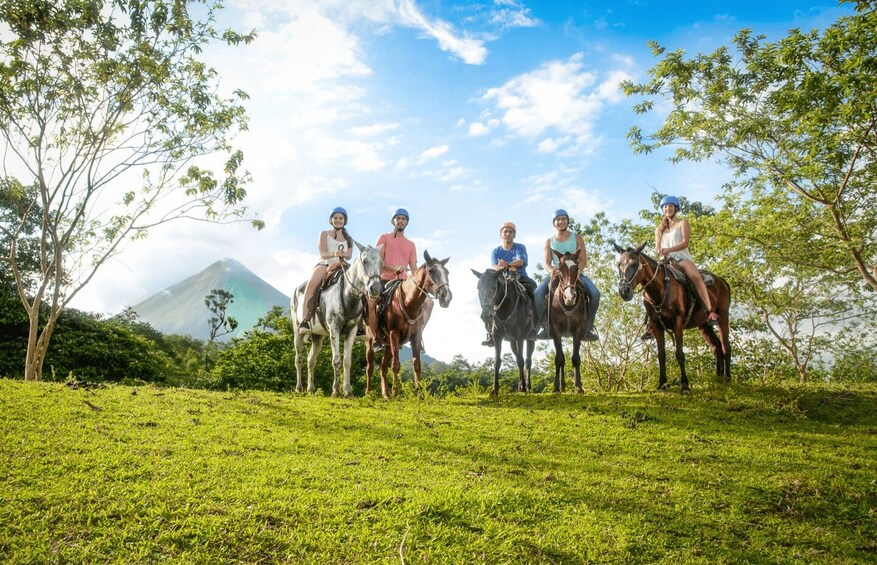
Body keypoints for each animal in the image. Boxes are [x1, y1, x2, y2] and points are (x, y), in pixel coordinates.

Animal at [290, 242, 382, 396]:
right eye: (365, 261)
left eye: (381, 263)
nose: (375, 288)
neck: (348, 295)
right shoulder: (334, 329)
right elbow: (336, 360)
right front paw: (335, 390)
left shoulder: (352, 331)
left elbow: (347, 361)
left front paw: (348, 391)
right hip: (297, 332)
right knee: (299, 358)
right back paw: (298, 388)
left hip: (317, 335)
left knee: (311, 359)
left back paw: (310, 388)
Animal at [366, 251, 456, 396]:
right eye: (431, 271)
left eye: (447, 272)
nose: (446, 296)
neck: (409, 303)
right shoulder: (394, 334)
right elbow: (396, 365)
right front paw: (396, 393)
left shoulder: (416, 336)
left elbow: (417, 365)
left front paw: (420, 394)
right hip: (369, 341)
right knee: (369, 367)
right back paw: (369, 393)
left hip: (388, 344)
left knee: (382, 367)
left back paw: (386, 394)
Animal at [544, 249, 592, 394]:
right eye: (560, 269)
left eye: (576, 268)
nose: (570, 297)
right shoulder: (556, 330)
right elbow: (559, 358)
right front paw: (555, 387)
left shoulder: (578, 329)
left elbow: (575, 358)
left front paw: (578, 387)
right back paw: (561, 386)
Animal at [616, 239, 732, 392]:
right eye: (619, 265)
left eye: (635, 264)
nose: (624, 291)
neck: (660, 289)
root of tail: (722, 281)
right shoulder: (656, 325)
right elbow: (661, 355)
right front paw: (662, 384)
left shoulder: (678, 322)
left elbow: (680, 354)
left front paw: (685, 385)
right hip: (704, 325)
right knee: (716, 347)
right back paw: (718, 379)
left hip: (723, 317)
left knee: (725, 346)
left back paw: (727, 378)